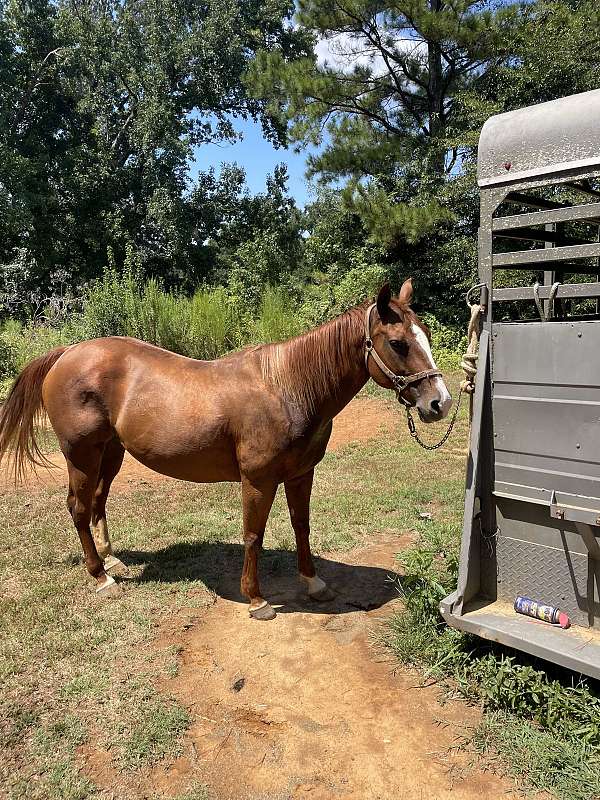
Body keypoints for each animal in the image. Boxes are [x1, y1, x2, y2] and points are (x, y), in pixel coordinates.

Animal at [0, 280, 451, 620]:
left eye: (426, 336)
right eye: (398, 344)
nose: (440, 403)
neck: (286, 387)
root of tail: (67, 354)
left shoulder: (301, 474)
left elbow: (301, 526)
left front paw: (313, 582)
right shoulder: (257, 481)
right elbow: (253, 534)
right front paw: (256, 599)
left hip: (110, 453)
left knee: (96, 501)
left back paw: (112, 561)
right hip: (81, 455)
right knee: (77, 508)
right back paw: (100, 577)